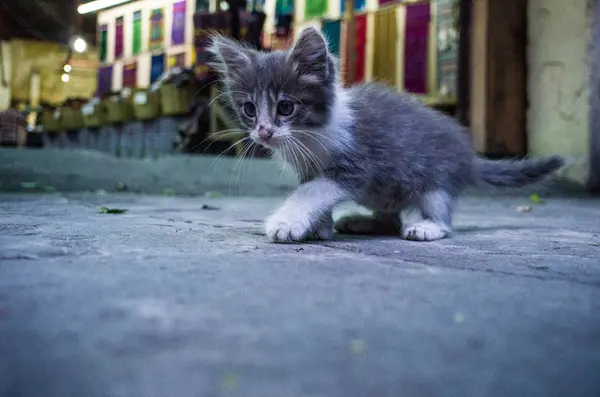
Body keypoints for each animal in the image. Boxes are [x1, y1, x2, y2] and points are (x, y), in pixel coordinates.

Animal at [206, 27, 564, 241]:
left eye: (285, 107)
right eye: (249, 109)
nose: (263, 132)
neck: (312, 136)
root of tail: (469, 159)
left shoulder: (356, 166)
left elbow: (313, 191)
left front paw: (287, 222)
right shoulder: (308, 168)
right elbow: (312, 189)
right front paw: (318, 227)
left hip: (435, 177)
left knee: (440, 211)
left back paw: (427, 226)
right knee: (391, 215)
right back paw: (364, 222)